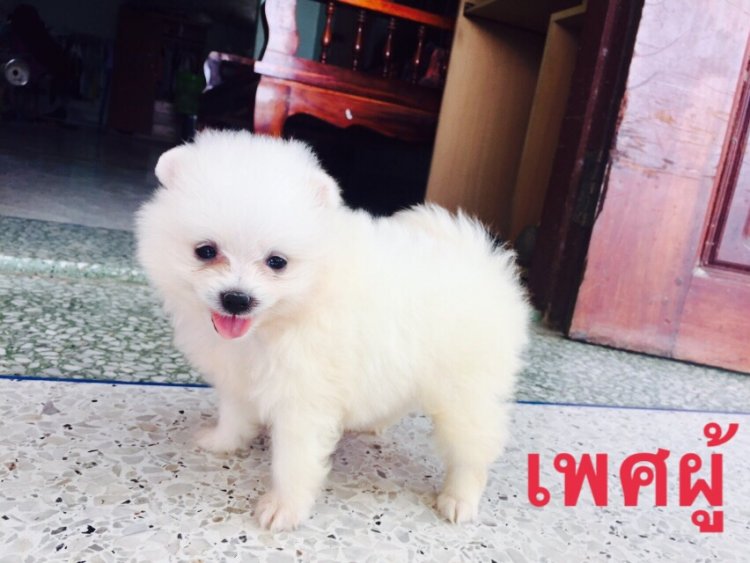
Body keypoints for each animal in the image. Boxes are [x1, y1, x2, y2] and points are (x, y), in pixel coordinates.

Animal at [135, 130, 530, 531]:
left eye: (277, 262)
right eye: (205, 251)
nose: (237, 298)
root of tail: (483, 261)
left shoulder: (302, 399)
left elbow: (293, 460)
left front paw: (284, 507)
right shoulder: (238, 375)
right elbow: (234, 414)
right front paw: (222, 441)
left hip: (465, 393)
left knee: (472, 449)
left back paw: (459, 499)